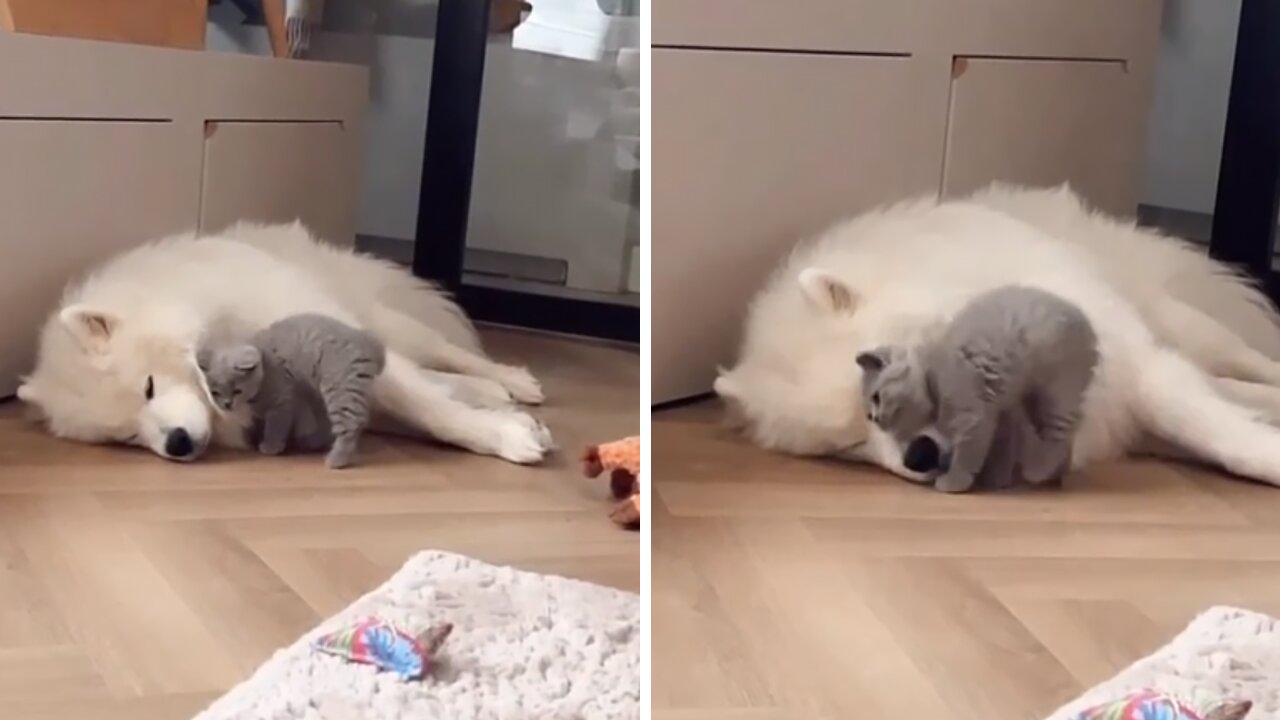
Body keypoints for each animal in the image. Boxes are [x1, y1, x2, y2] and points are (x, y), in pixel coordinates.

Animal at [194, 311, 384, 468]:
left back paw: (336, 460)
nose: (226, 404)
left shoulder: (282, 398)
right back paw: (312, 443)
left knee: (351, 423)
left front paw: (270, 446)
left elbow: (276, 425)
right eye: (215, 393)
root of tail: (369, 341)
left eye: (237, 391)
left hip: (339, 386)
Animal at [855, 283, 1095, 489]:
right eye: (868, 415)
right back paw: (1057, 475)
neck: (933, 376)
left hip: (1057, 388)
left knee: (1062, 432)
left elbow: (967, 452)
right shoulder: (1002, 410)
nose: (876, 418)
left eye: (876, 397)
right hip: (1032, 399)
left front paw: (954, 482)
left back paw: (1040, 471)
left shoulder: (972, 414)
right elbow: (1002, 444)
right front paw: (997, 477)